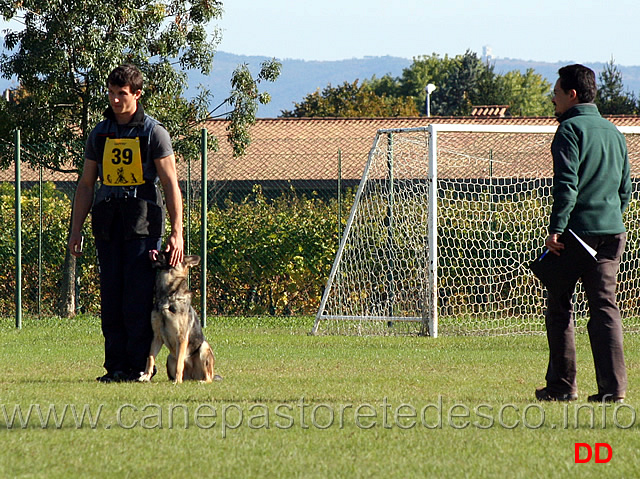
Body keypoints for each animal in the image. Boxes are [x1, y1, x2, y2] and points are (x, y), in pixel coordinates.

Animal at [139, 251, 216, 382]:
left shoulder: (181, 337)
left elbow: (180, 363)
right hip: (170, 357)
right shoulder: (156, 336)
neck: (168, 296)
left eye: (169, 252)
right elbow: (150, 357)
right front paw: (146, 376)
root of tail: (192, 377)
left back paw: (198, 381)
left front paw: (177, 381)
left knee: (209, 378)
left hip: (204, 348)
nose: (154, 252)